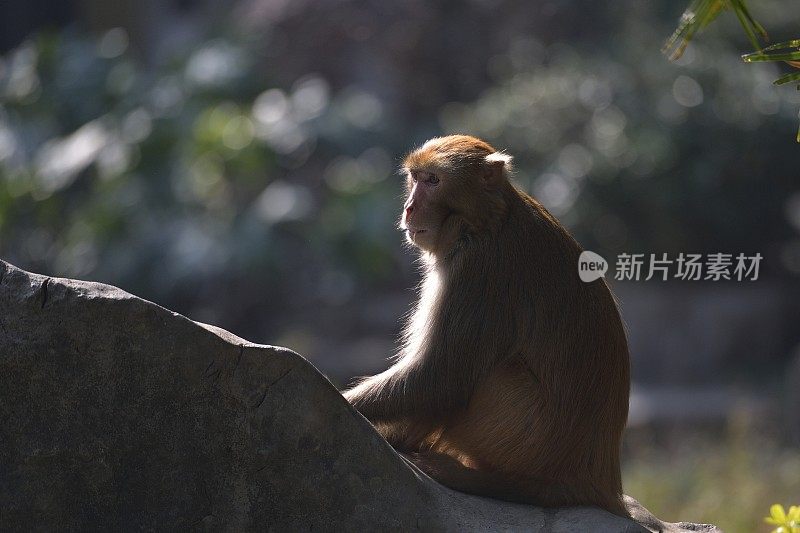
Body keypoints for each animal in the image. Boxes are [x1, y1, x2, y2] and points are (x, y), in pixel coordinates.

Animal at [344, 133, 632, 516]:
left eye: (433, 180)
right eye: (415, 178)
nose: (408, 208)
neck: (485, 221)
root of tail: (595, 482)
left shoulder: (476, 270)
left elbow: (440, 376)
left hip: (525, 438)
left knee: (487, 374)